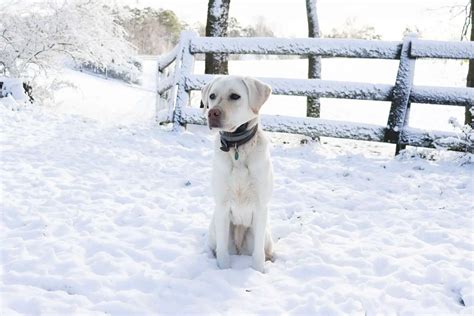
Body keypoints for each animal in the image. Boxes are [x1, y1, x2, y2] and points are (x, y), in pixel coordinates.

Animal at [203, 75, 274, 272]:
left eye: (235, 96)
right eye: (212, 96)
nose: (211, 113)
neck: (237, 146)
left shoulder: (261, 206)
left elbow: (258, 254)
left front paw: (258, 271)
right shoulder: (222, 206)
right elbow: (222, 254)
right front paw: (223, 269)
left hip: (266, 236)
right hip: (214, 229)